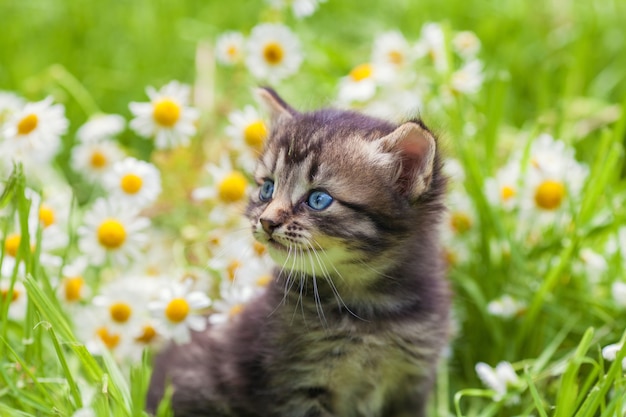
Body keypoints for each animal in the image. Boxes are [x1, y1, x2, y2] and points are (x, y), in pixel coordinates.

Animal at [146, 88, 448, 416]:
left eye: (318, 199)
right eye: (267, 189)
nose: (266, 221)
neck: (368, 308)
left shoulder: (412, 381)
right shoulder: (299, 384)